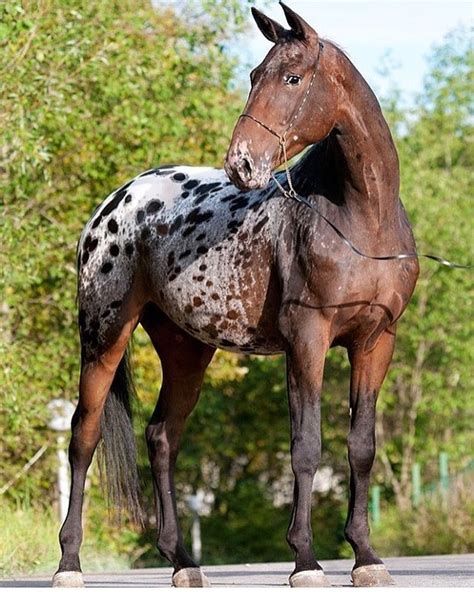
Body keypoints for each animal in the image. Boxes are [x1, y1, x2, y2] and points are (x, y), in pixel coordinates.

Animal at [52, 3, 418, 588]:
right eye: (252, 76)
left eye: (291, 78)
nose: (241, 163)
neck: (361, 220)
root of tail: (118, 200)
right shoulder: (307, 338)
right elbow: (306, 447)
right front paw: (305, 560)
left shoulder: (375, 340)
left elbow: (360, 447)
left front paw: (365, 556)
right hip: (104, 335)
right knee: (83, 437)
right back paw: (69, 563)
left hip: (186, 349)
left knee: (162, 437)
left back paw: (183, 561)